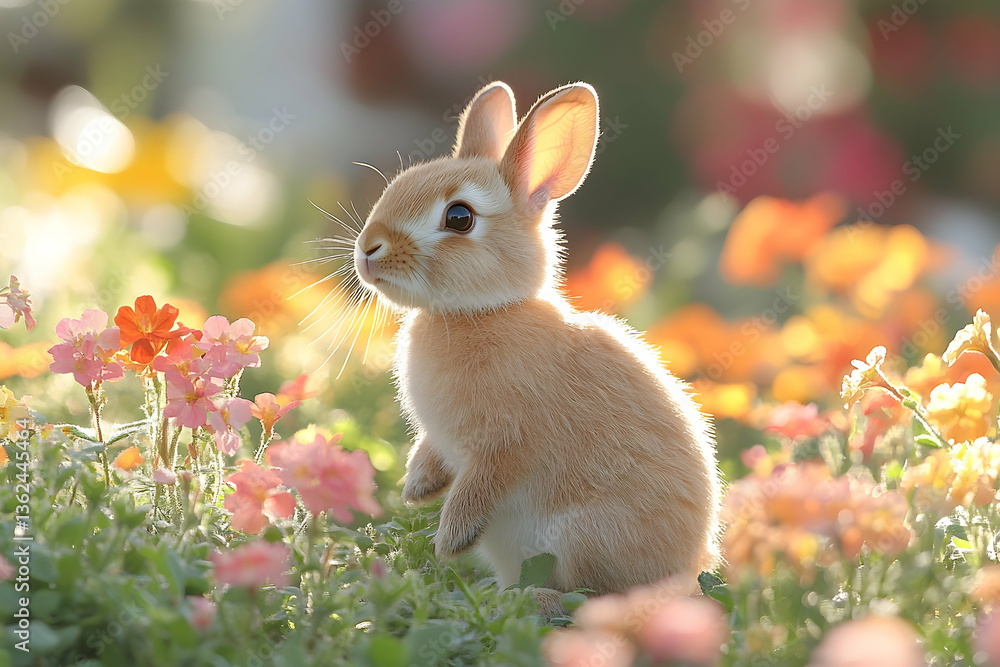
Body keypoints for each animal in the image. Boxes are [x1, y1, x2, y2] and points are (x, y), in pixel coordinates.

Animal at [352, 80, 722, 614]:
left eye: (459, 217)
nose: (367, 249)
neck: (479, 312)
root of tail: (685, 574)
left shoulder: (506, 443)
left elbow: (481, 487)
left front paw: (449, 539)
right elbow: (433, 455)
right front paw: (417, 488)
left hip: (581, 537)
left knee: (596, 601)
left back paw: (523, 603)